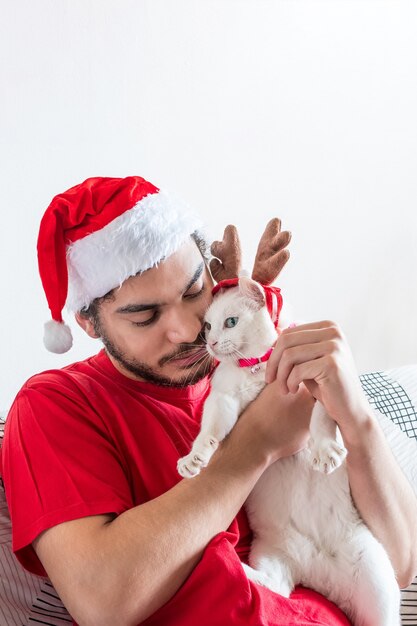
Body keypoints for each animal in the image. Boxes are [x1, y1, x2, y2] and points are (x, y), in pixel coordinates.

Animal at [176, 276, 400, 624]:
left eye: (230, 322)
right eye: (208, 326)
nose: (210, 343)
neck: (255, 367)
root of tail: (320, 573)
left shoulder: (317, 383)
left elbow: (322, 418)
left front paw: (325, 450)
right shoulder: (223, 399)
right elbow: (210, 428)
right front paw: (195, 457)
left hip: (376, 571)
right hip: (269, 551)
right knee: (276, 586)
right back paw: (234, 566)